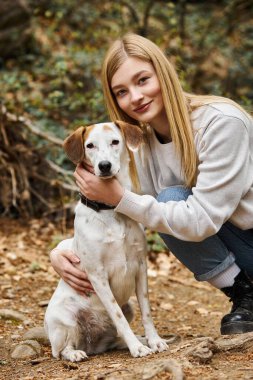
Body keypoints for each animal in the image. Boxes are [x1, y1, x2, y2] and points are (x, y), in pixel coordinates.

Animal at [44, 121, 169, 362]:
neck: (110, 209)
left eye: (115, 142)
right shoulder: (98, 275)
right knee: (62, 349)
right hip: (64, 319)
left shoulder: (140, 266)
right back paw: (75, 354)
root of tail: (92, 343)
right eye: (90, 146)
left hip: (128, 308)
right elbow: (116, 314)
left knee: (114, 337)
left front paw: (154, 340)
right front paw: (137, 348)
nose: (104, 166)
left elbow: (147, 311)